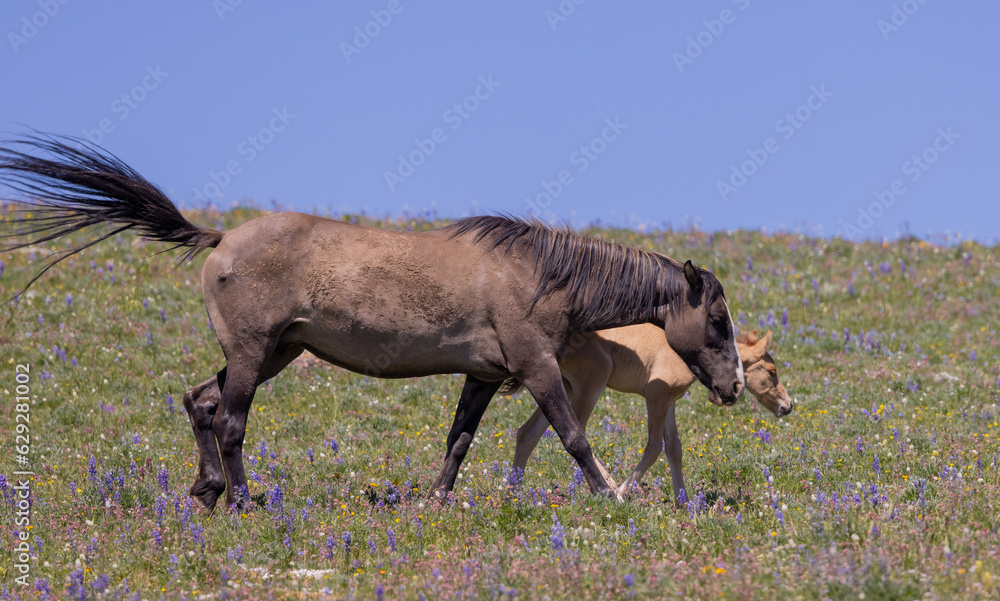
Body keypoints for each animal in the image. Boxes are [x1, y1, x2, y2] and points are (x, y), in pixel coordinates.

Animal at [0, 133, 745, 510]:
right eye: (716, 318)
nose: (735, 384)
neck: (540, 272)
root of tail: (220, 239)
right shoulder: (535, 367)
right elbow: (574, 436)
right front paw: (612, 495)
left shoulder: (483, 374)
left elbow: (458, 441)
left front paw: (436, 502)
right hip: (255, 354)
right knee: (231, 420)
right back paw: (243, 501)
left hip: (270, 353)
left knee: (202, 403)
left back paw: (207, 491)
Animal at [512, 326, 791, 505]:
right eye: (771, 370)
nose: (787, 405)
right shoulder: (656, 396)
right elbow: (654, 447)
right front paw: (622, 492)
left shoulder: (669, 402)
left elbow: (675, 448)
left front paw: (684, 502)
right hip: (591, 382)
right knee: (574, 433)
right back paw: (609, 486)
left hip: (563, 386)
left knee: (528, 432)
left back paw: (512, 490)